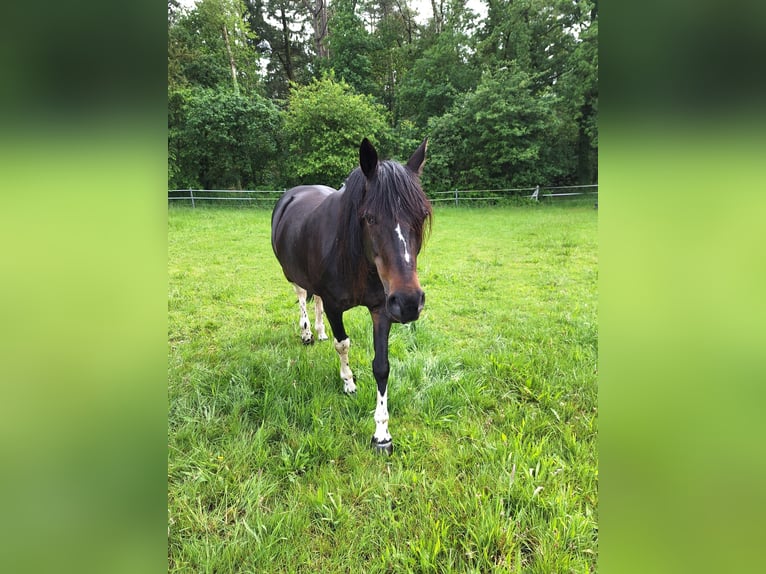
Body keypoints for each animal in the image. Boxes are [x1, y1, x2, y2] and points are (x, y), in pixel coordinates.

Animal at [271, 138, 432, 454]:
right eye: (369, 218)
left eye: (420, 216)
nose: (408, 303)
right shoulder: (336, 307)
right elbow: (343, 344)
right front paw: (348, 382)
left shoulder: (382, 308)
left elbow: (382, 366)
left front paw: (382, 433)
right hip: (292, 274)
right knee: (302, 296)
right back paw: (307, 333)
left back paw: (319, 331)